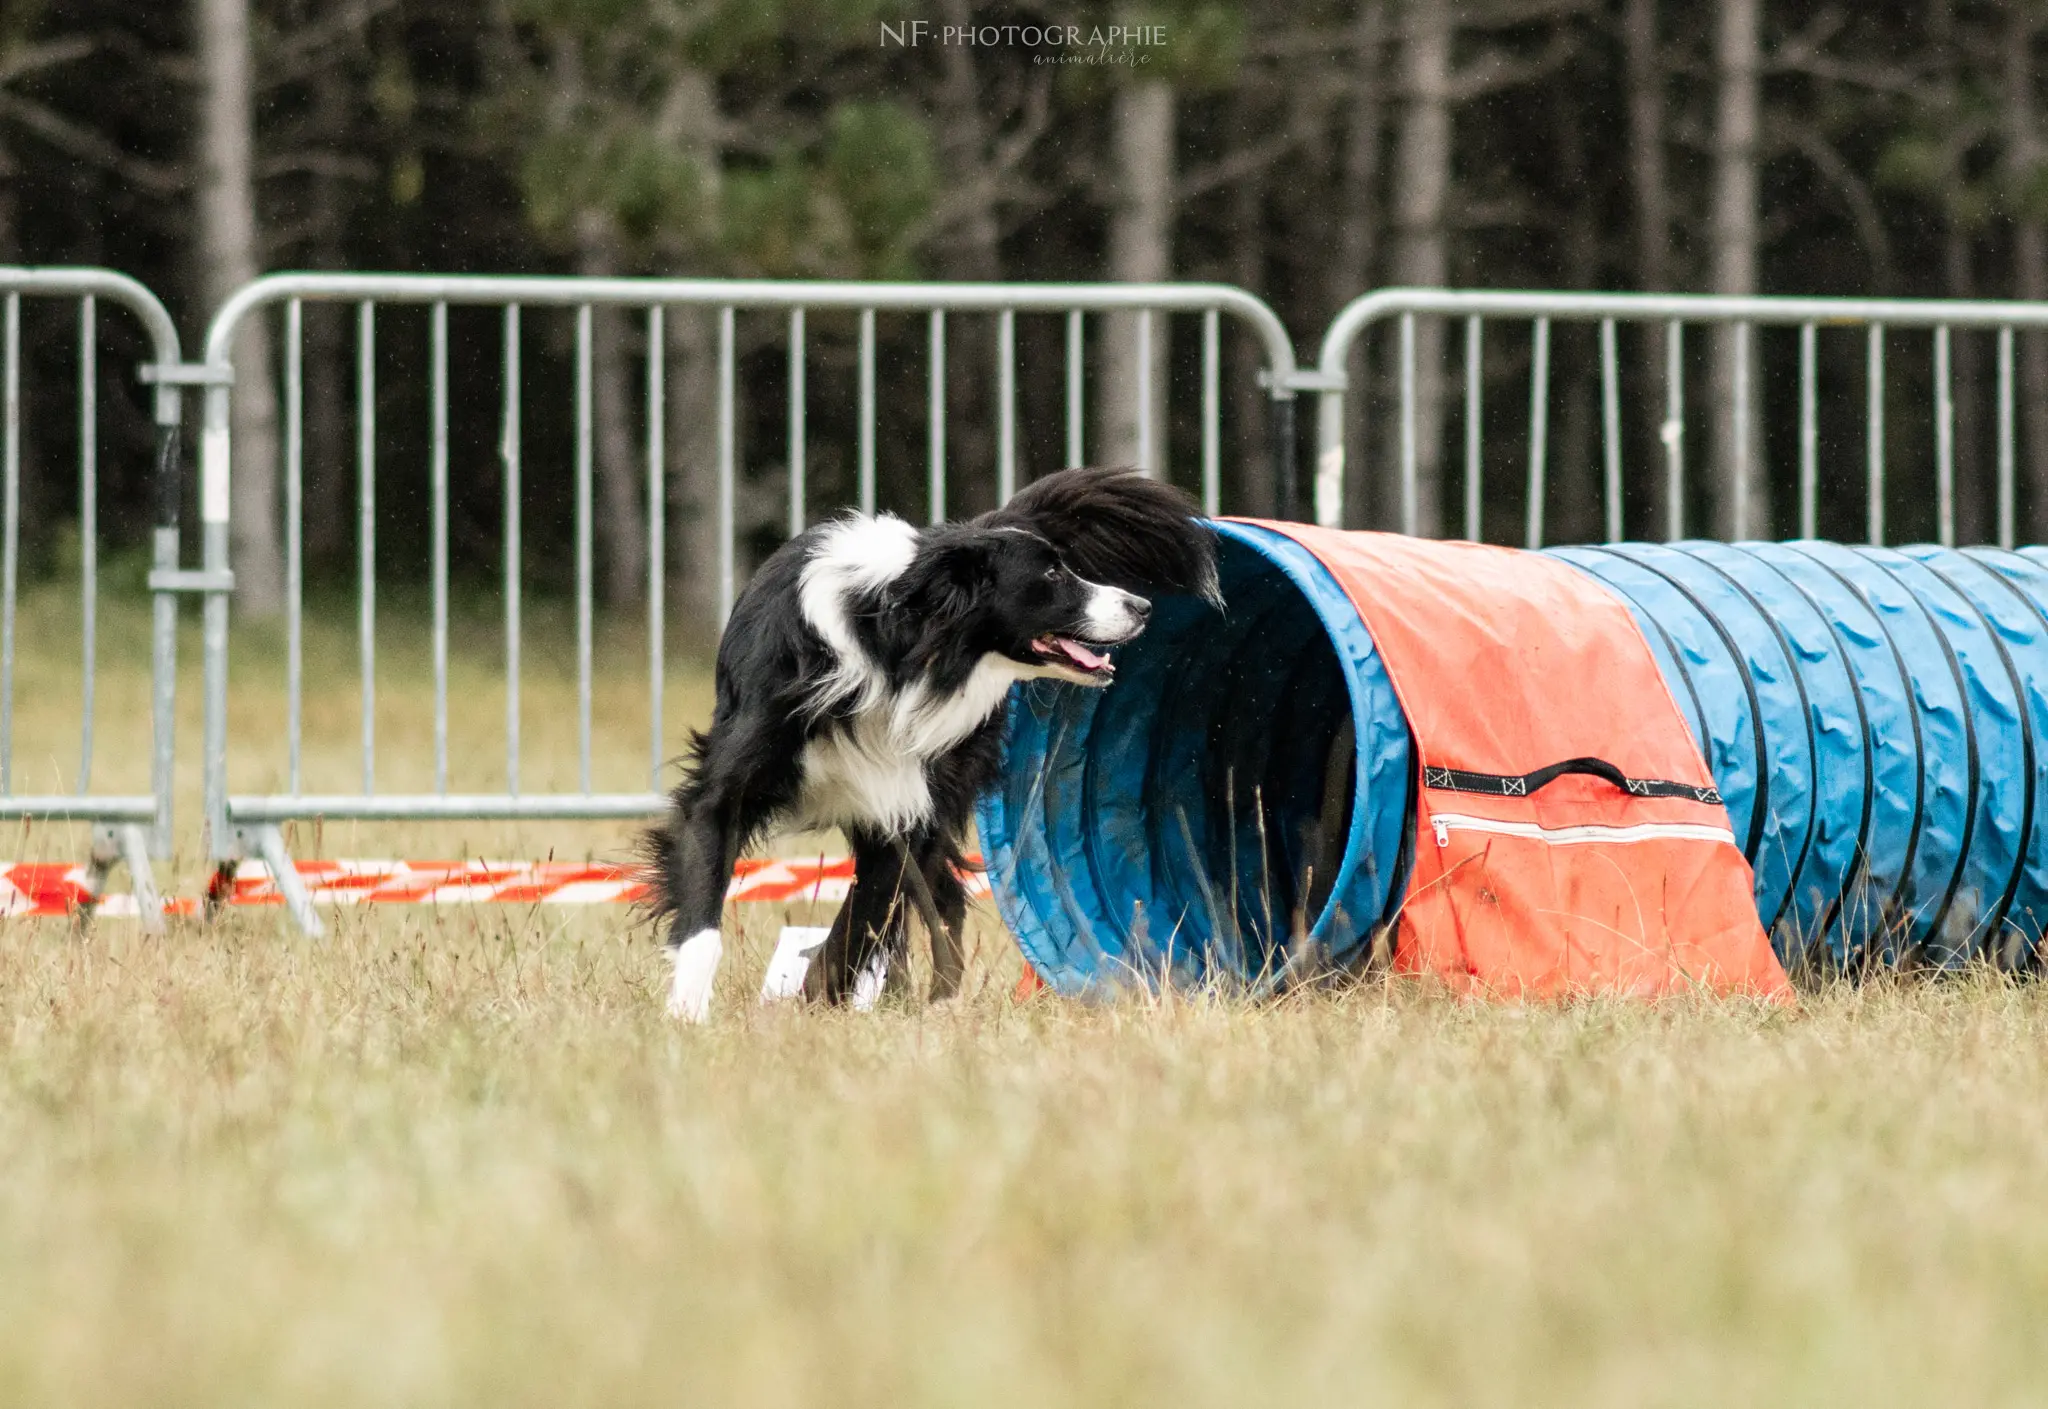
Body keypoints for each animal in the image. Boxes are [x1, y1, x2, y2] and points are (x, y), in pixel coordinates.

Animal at [638, 466, 1212, 1019]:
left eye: (1065, 566)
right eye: (1051, 574)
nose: (1142, 606)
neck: (887, 645)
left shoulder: (902, 803)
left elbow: (865, 913)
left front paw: (820, 1002)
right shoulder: (729, 784)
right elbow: (706, 905)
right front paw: (688, 1012)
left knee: (937, 896)